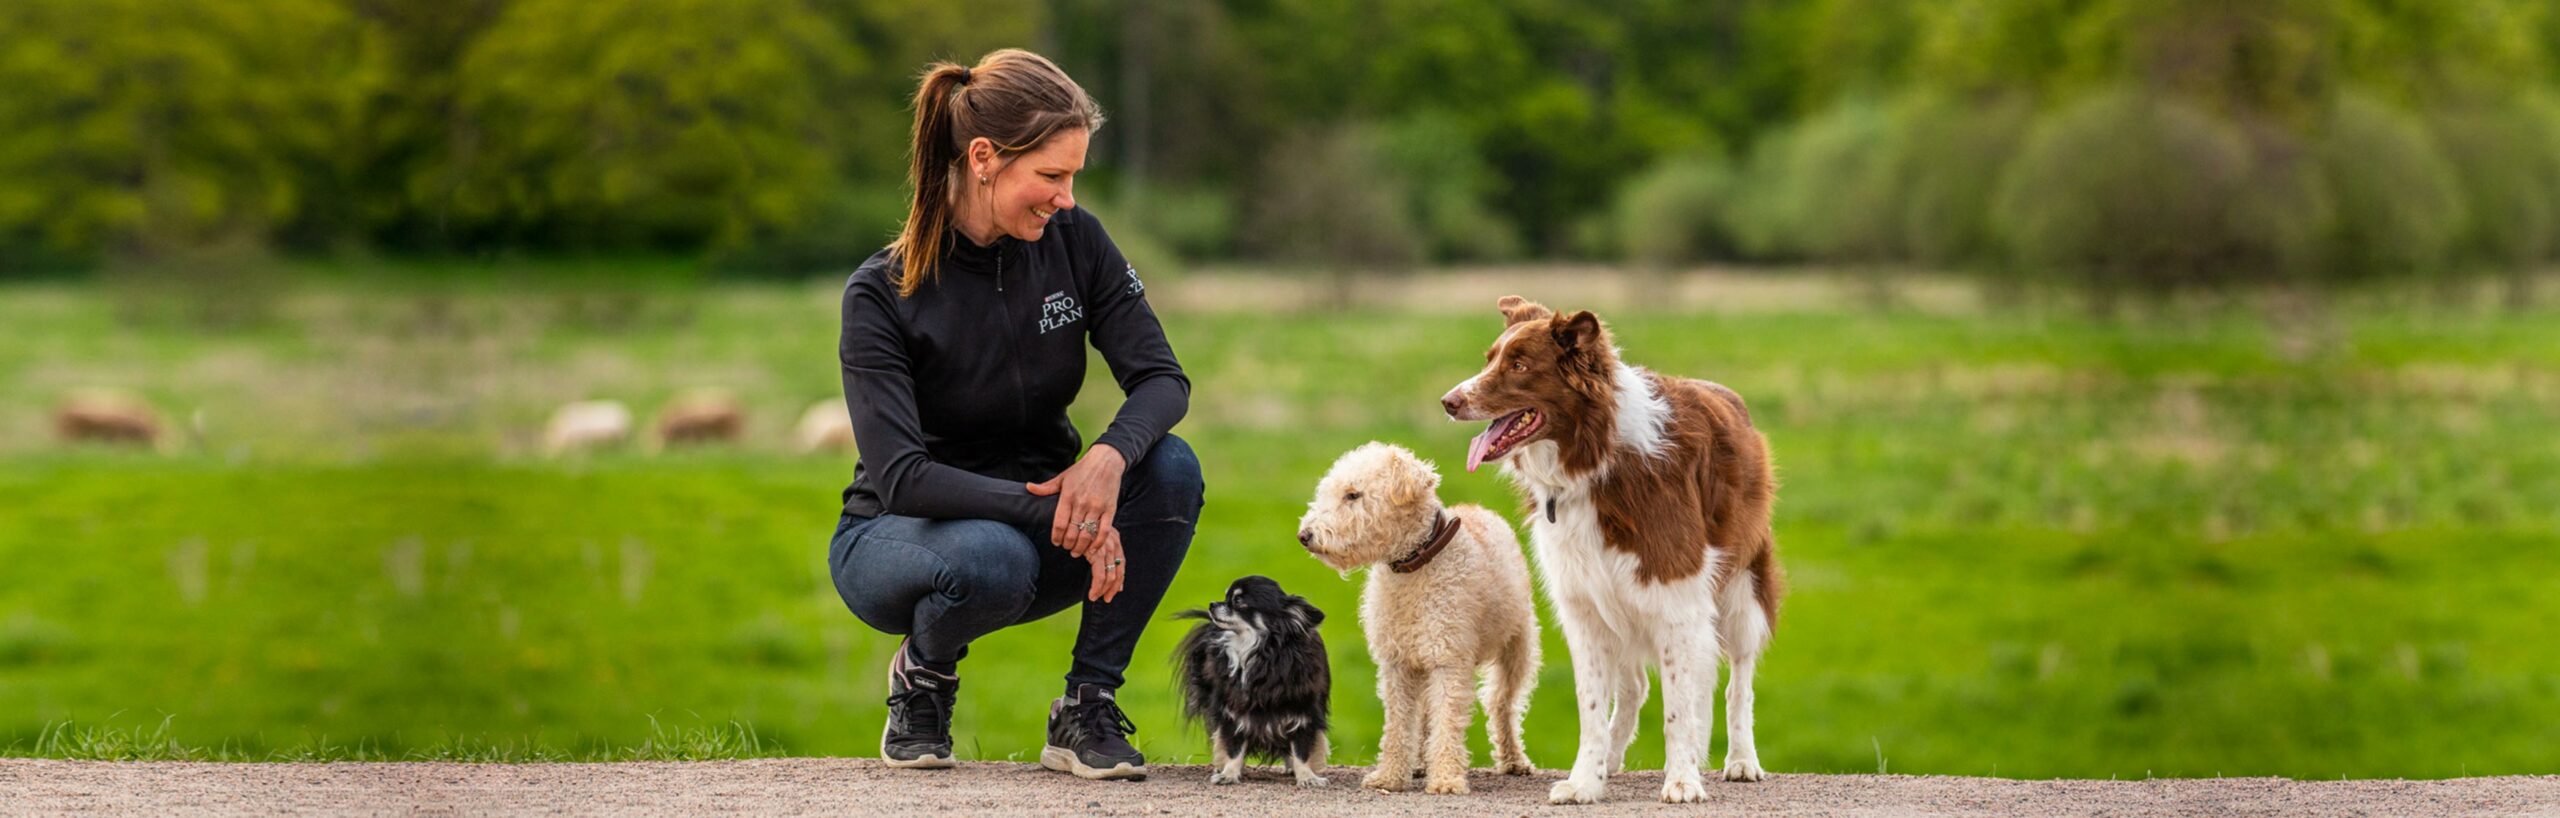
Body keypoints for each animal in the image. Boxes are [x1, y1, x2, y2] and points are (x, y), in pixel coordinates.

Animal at [1177, 575, 1341, 787]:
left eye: (1238, 601)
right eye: (1226, 596)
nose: (1212, 604)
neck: (1261, 652)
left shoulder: (1304, 714)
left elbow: (1301, 750)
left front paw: (1306, 777)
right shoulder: (1233, 712)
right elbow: (1233, 747)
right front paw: (1229, 774)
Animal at [1300, 439, 1536, 792]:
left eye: (1353, 495)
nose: (1305, 535)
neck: (1414, 564)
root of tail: (1480, 508)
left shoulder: (1448, 659)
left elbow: (1447, 720)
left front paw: (1447, 779)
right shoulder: (1397, 662)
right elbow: (1399, 724)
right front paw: (1390, 776)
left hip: (1516, 647)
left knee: (1501, 703)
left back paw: (1513, 760)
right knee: (1426, 713)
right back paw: (1422, 763)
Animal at [1443, 295, 1781, 807]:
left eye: (1519, 365)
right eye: (1490, 359)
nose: (1449, 402)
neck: (1594, 460)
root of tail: (1734, 401)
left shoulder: (1677, 599)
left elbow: (1680, 705)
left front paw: (1682, 780)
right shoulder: (1584, 606)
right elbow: (1592, 707)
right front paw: (1587, 780)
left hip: (1743, 591)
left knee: (1737, 682)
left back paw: (1741, 760)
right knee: (1636, 686)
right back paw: (1617, 760)